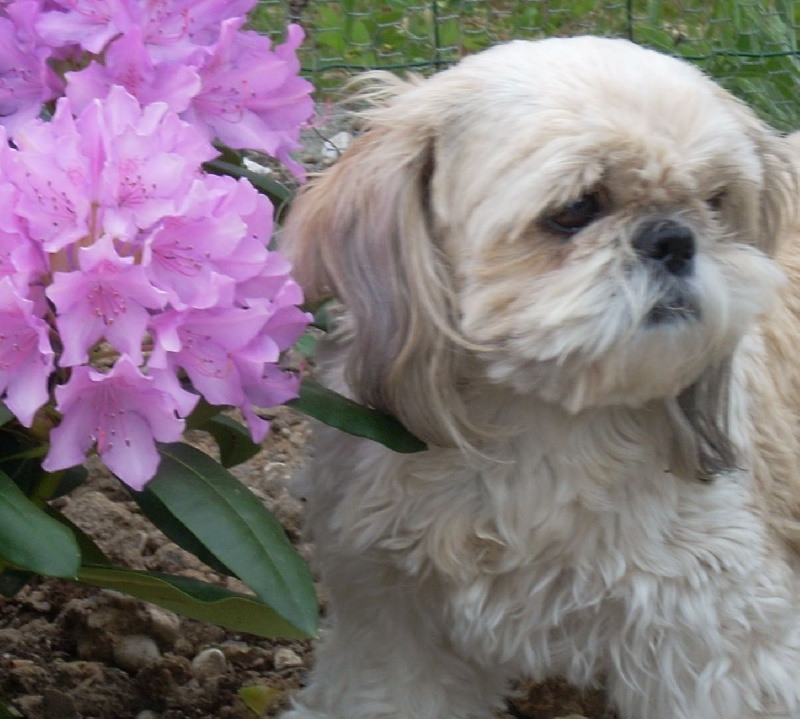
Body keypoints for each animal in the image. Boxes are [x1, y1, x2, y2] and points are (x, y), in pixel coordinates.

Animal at [278, 38, 800, 719]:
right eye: (576, 208)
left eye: (714, 202)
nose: (674, 238)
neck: (537, 429)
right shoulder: (393, 621)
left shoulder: (711, 642)